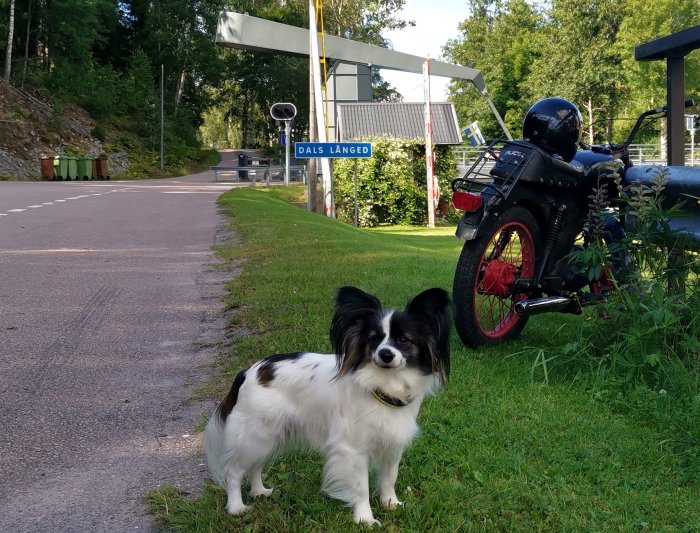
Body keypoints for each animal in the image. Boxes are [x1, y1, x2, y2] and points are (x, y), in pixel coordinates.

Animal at [205, 286, 452, 524]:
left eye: (403, 340)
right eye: (374, 339)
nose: (385, 354)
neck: (383, 384)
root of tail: (248, 372)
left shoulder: (393, 443)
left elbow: (390, 477)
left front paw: (391, 504)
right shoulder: (353, 450)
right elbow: (361, 487)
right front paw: (365, 518)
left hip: (268, 435)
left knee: (254, 466)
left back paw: (259, 492)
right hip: (256, 434)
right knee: (234, 470)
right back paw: (236, 507)